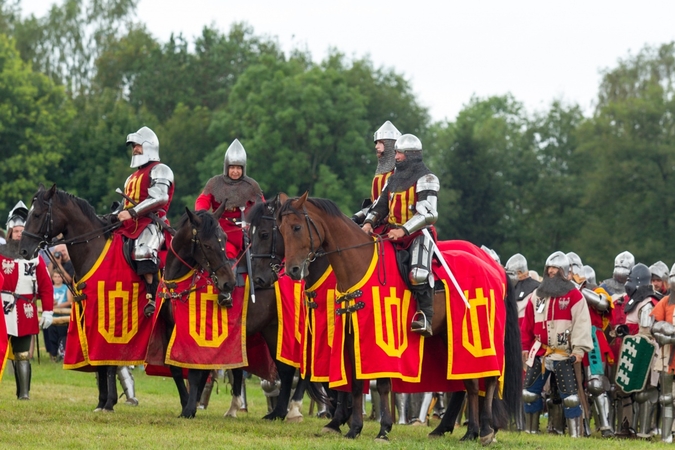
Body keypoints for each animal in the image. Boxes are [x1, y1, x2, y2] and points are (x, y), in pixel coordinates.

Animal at [17, 184, 238, 412]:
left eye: (37, 214)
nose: (23, 249)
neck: (95, 249)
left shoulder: (111, 317)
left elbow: (109, 362)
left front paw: (108, 402)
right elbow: (101, 362)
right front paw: (103, 401)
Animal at [274, 192, 524, 442]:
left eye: (297, 227)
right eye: (280, 229)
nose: (292, 270)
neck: (359, 262)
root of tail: (494, 269)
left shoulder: (383, 342)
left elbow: (383, 384)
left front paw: (383, 428)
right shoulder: (353, 339)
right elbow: (356, 383)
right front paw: (354, 428)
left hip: (483, 339)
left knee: (489, 379)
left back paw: (486, 430)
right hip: (452, 339)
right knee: (470, 383)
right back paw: (469, 431)